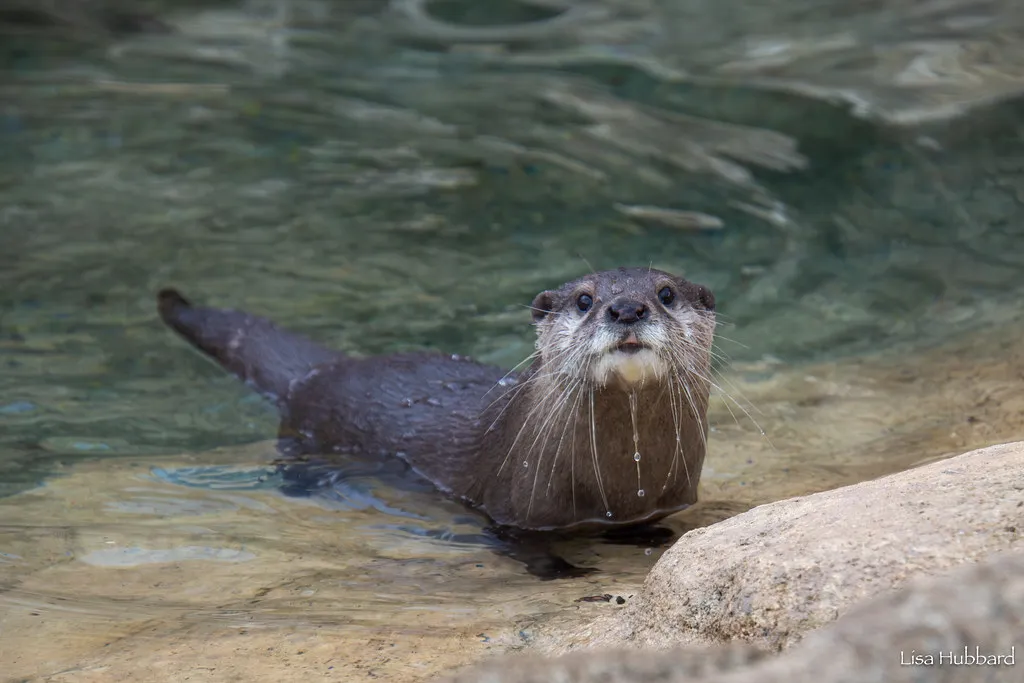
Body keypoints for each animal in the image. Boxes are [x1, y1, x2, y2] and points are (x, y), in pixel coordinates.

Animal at [157, 267, 716, 533]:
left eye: (666, 293)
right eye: (584, 300)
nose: (626, 308)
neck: (624, 483)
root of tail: (319, 373)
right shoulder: (513, 507)